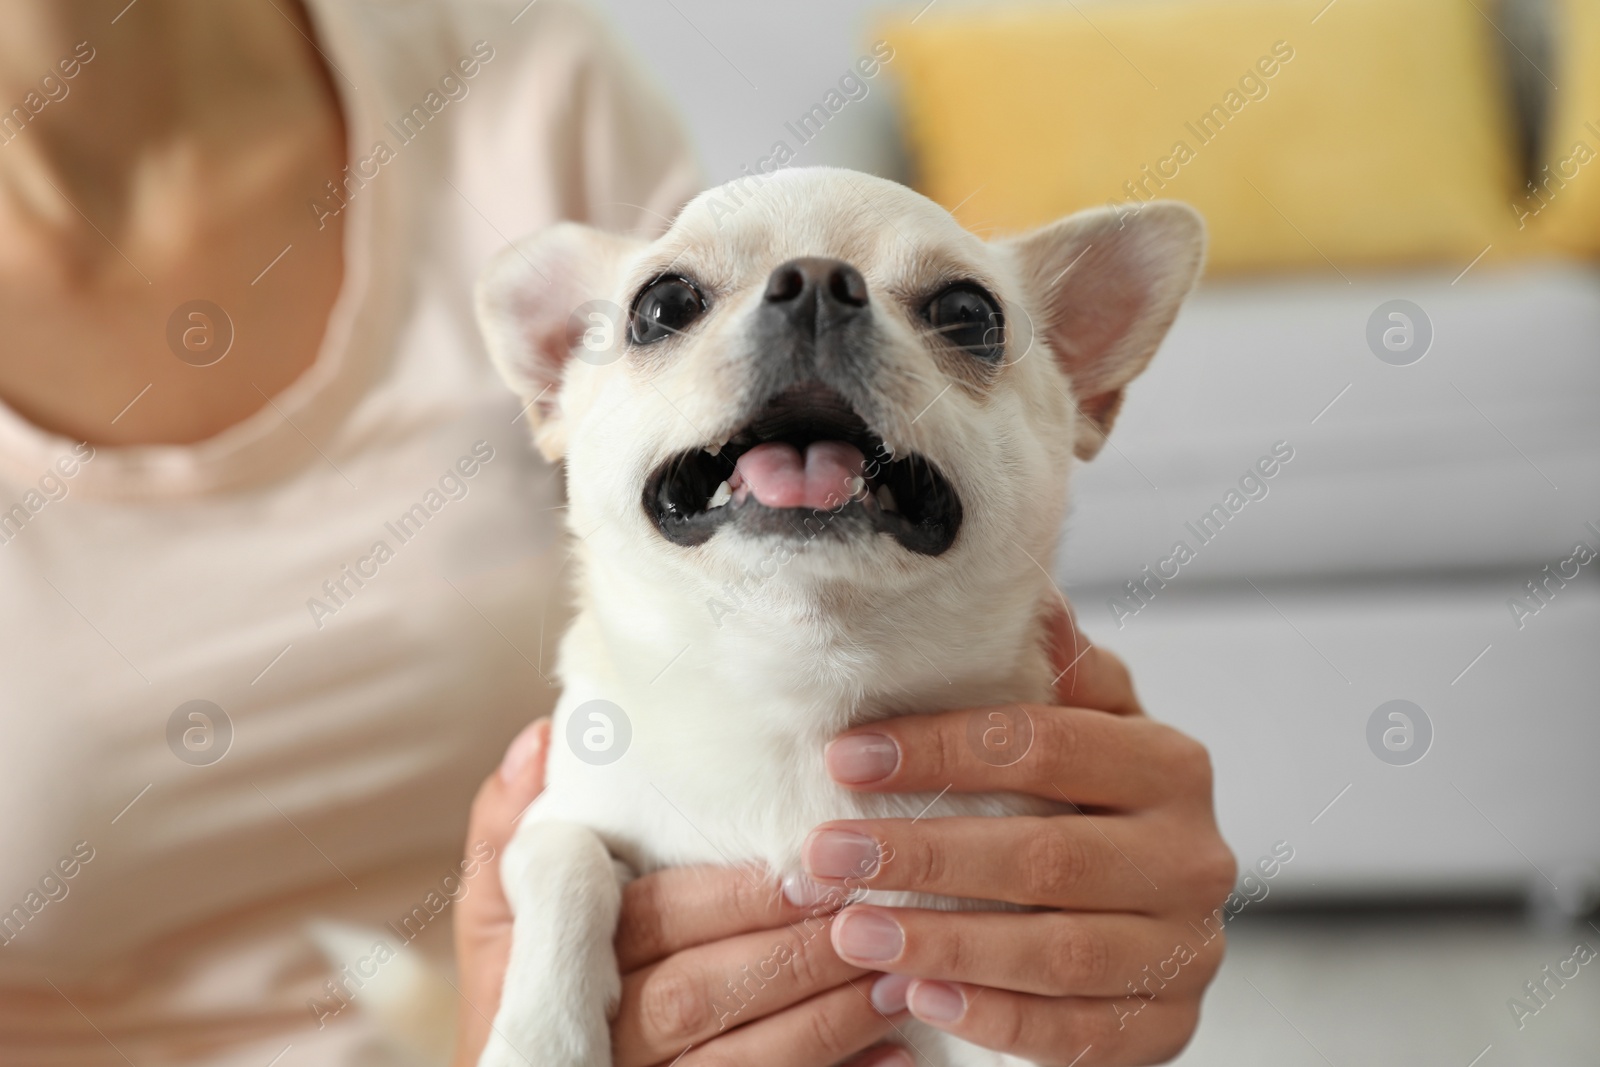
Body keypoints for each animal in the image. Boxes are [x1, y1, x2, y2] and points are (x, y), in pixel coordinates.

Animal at [470, 168, 1203, 1067]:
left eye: (969, 314)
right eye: (662, 305)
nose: (816, 279)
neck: (800, 690)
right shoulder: (557, 818)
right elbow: (564, 857)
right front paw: (541, 1039)